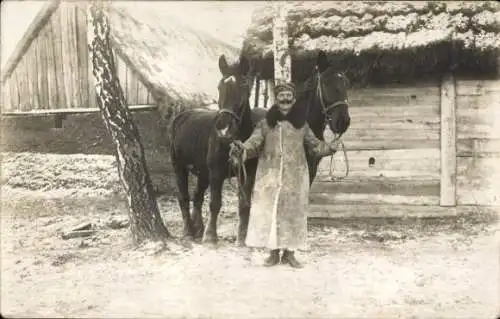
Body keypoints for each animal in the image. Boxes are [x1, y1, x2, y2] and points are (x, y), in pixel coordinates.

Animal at [169, 55, 254, 245]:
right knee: (184, 197)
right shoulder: (216, 172)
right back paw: (188, 232)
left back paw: (198, 228)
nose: (224, 129)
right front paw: (210, 236)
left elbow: (245, 204)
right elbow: (215, 203)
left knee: (197, 196)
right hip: (179, 167)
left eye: (244, 84)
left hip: (203, 172)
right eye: (219, 86)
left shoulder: (247, 173)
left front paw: (242, 239)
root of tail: (180, 116)